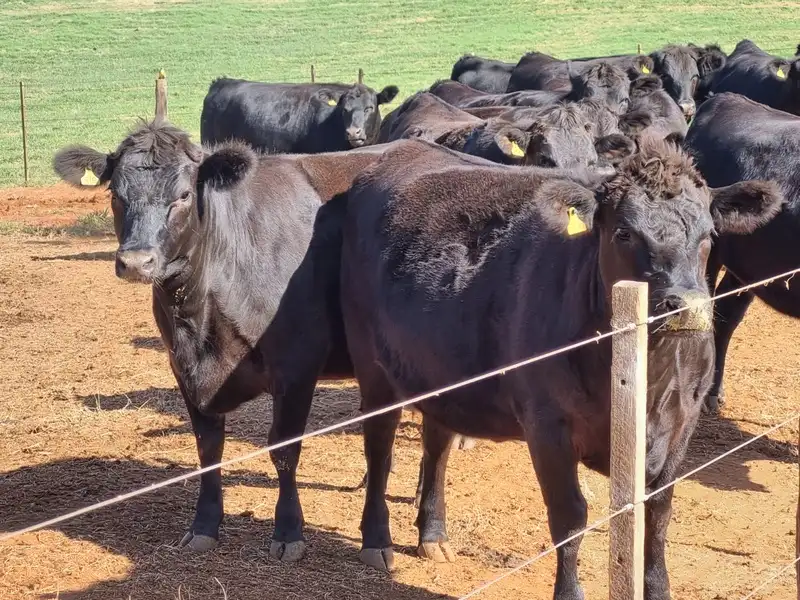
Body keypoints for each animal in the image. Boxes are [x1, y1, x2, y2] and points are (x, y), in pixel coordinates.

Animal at [51, 122, 392, 564]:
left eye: (183, 195)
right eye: (115, 195)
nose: (136, 262)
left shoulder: (297, 365)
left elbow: (284, 449)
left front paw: (288, 531)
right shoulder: (183, 368)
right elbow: (207, 448)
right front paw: (204, 525)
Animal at [340, 137, 780, 600]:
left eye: (708, 235)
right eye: (623, 232)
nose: (687, 306)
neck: (645, 379)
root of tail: (405, 148)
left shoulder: (682, 423)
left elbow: (658, 513)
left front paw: (658, 588)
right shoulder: (547, 425)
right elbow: (570, 518)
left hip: (439, 372)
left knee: (437, 444)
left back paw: (433, 535)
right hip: (372, 366)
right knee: (380, 446)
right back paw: (377, 540)